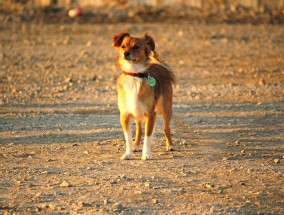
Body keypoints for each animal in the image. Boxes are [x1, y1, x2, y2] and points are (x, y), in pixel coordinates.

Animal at [113, 32, 175, 160]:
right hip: (138, 112)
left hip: (166, 109)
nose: (126, 53)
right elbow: (128, 138)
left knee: (166, 128)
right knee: (139, 130)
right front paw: (128, 153)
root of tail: (159, 66)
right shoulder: (125, 115)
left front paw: (146, 154)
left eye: (136, 47)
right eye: (123, 46)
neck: (134, 75)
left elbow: (148, 136)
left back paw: (170, 145)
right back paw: (136, 145)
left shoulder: (151, 114)